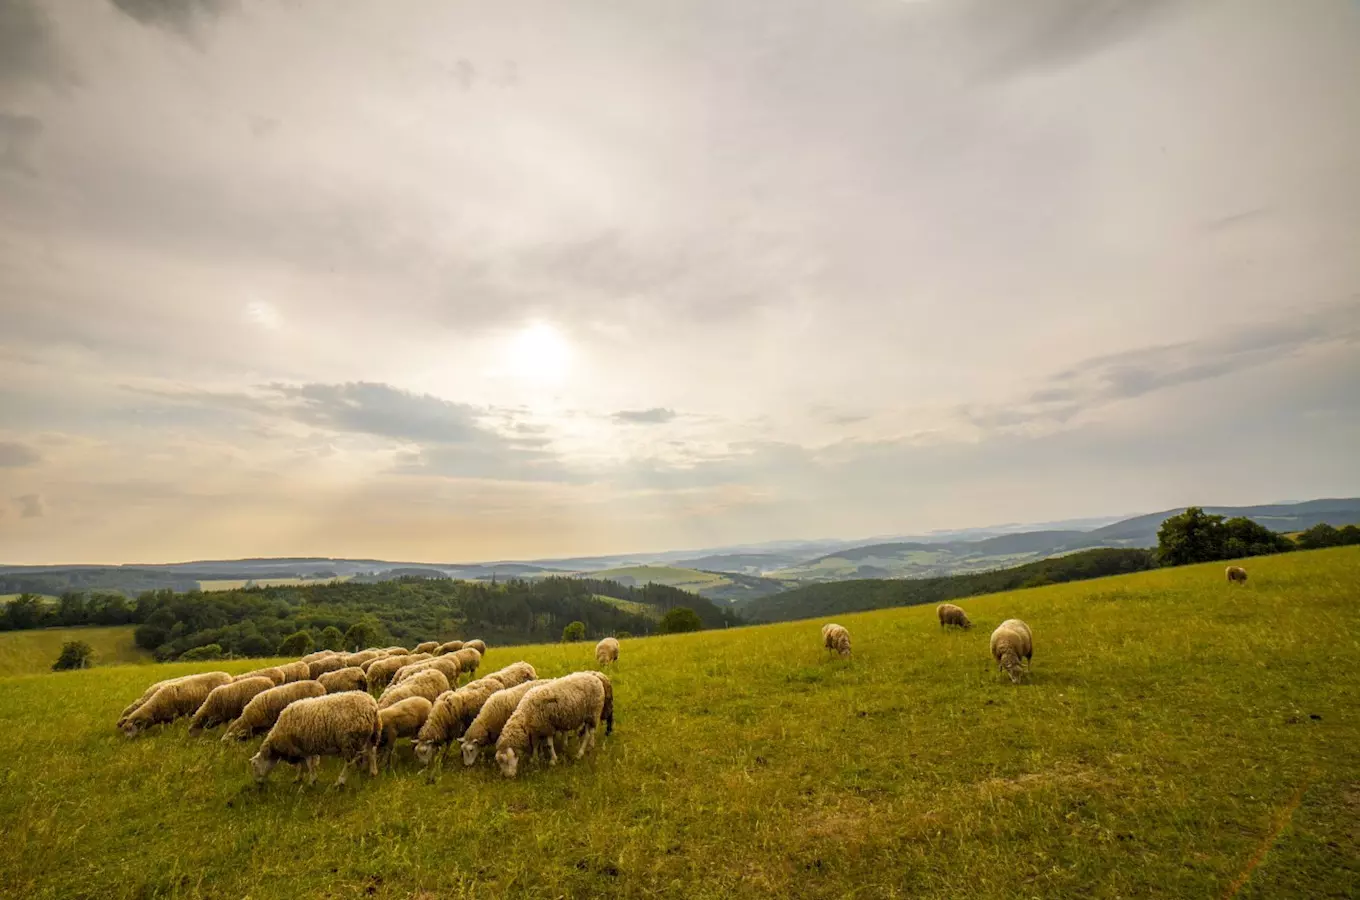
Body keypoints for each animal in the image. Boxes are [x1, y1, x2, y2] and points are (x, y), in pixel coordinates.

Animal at [247, 690, 378, 788]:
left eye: (254, 765)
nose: (257, 783)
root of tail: (372, 705)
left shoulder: (306, 746)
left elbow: (309, 765)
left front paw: (311, 781)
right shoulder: (300, 748)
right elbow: (302, 765)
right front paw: (299, 778)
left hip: (350, 740)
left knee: (350, 762)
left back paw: (340, 781)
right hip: (368, 737)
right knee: (371, 752)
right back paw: (373, 772)